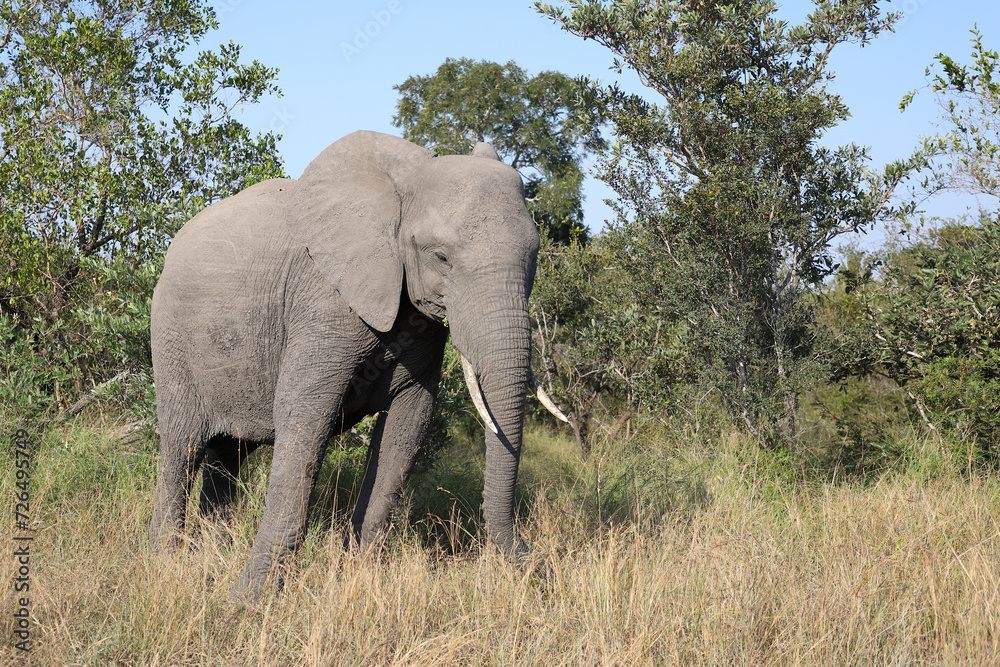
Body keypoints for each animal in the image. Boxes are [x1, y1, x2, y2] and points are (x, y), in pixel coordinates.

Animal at [147, 130, 568, 599]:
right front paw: (250, 599)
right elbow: (304, 417)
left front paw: (359, 581)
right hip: (170, 337)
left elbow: (407, 428)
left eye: (534, 254)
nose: (543, 569)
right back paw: (165, 565)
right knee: (182, 449)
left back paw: (208, 554)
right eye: (440, 257)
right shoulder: (321, 301)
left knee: (227, 454)